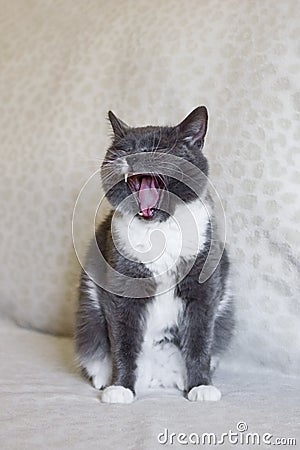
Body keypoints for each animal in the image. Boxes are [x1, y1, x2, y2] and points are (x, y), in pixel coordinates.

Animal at [74, 106, 233, 404]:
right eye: (122, 150)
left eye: (157, 149)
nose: (132, 158)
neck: (157, 229)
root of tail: (157, 375)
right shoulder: (121, 285)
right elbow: (123, 340)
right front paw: (121, 388)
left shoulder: (204, 286)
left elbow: (200, 339)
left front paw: (201, 386)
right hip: (88, 320)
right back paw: (105, 379)